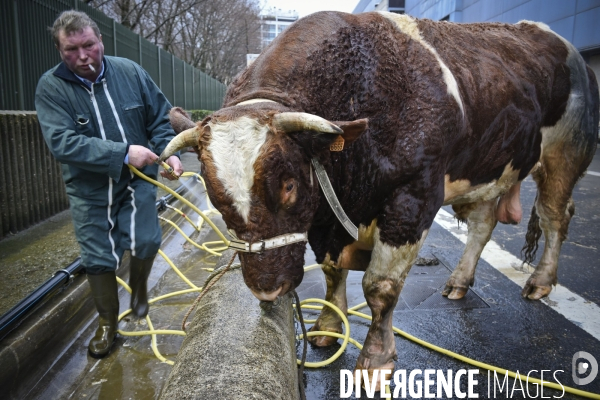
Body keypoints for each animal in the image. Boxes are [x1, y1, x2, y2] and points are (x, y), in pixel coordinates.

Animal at [158, 12, 596, 386]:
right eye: (213, 193)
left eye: (288, 184)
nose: (267, 289)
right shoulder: (329, 219)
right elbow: (332, 272)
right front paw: (326, 328)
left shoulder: (413, 196)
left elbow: (379, 287)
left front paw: (376, 360)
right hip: (488, 167)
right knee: (482, 224)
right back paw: (459, 281)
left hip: (563, 155)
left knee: (556, 217)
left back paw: (540, 282)